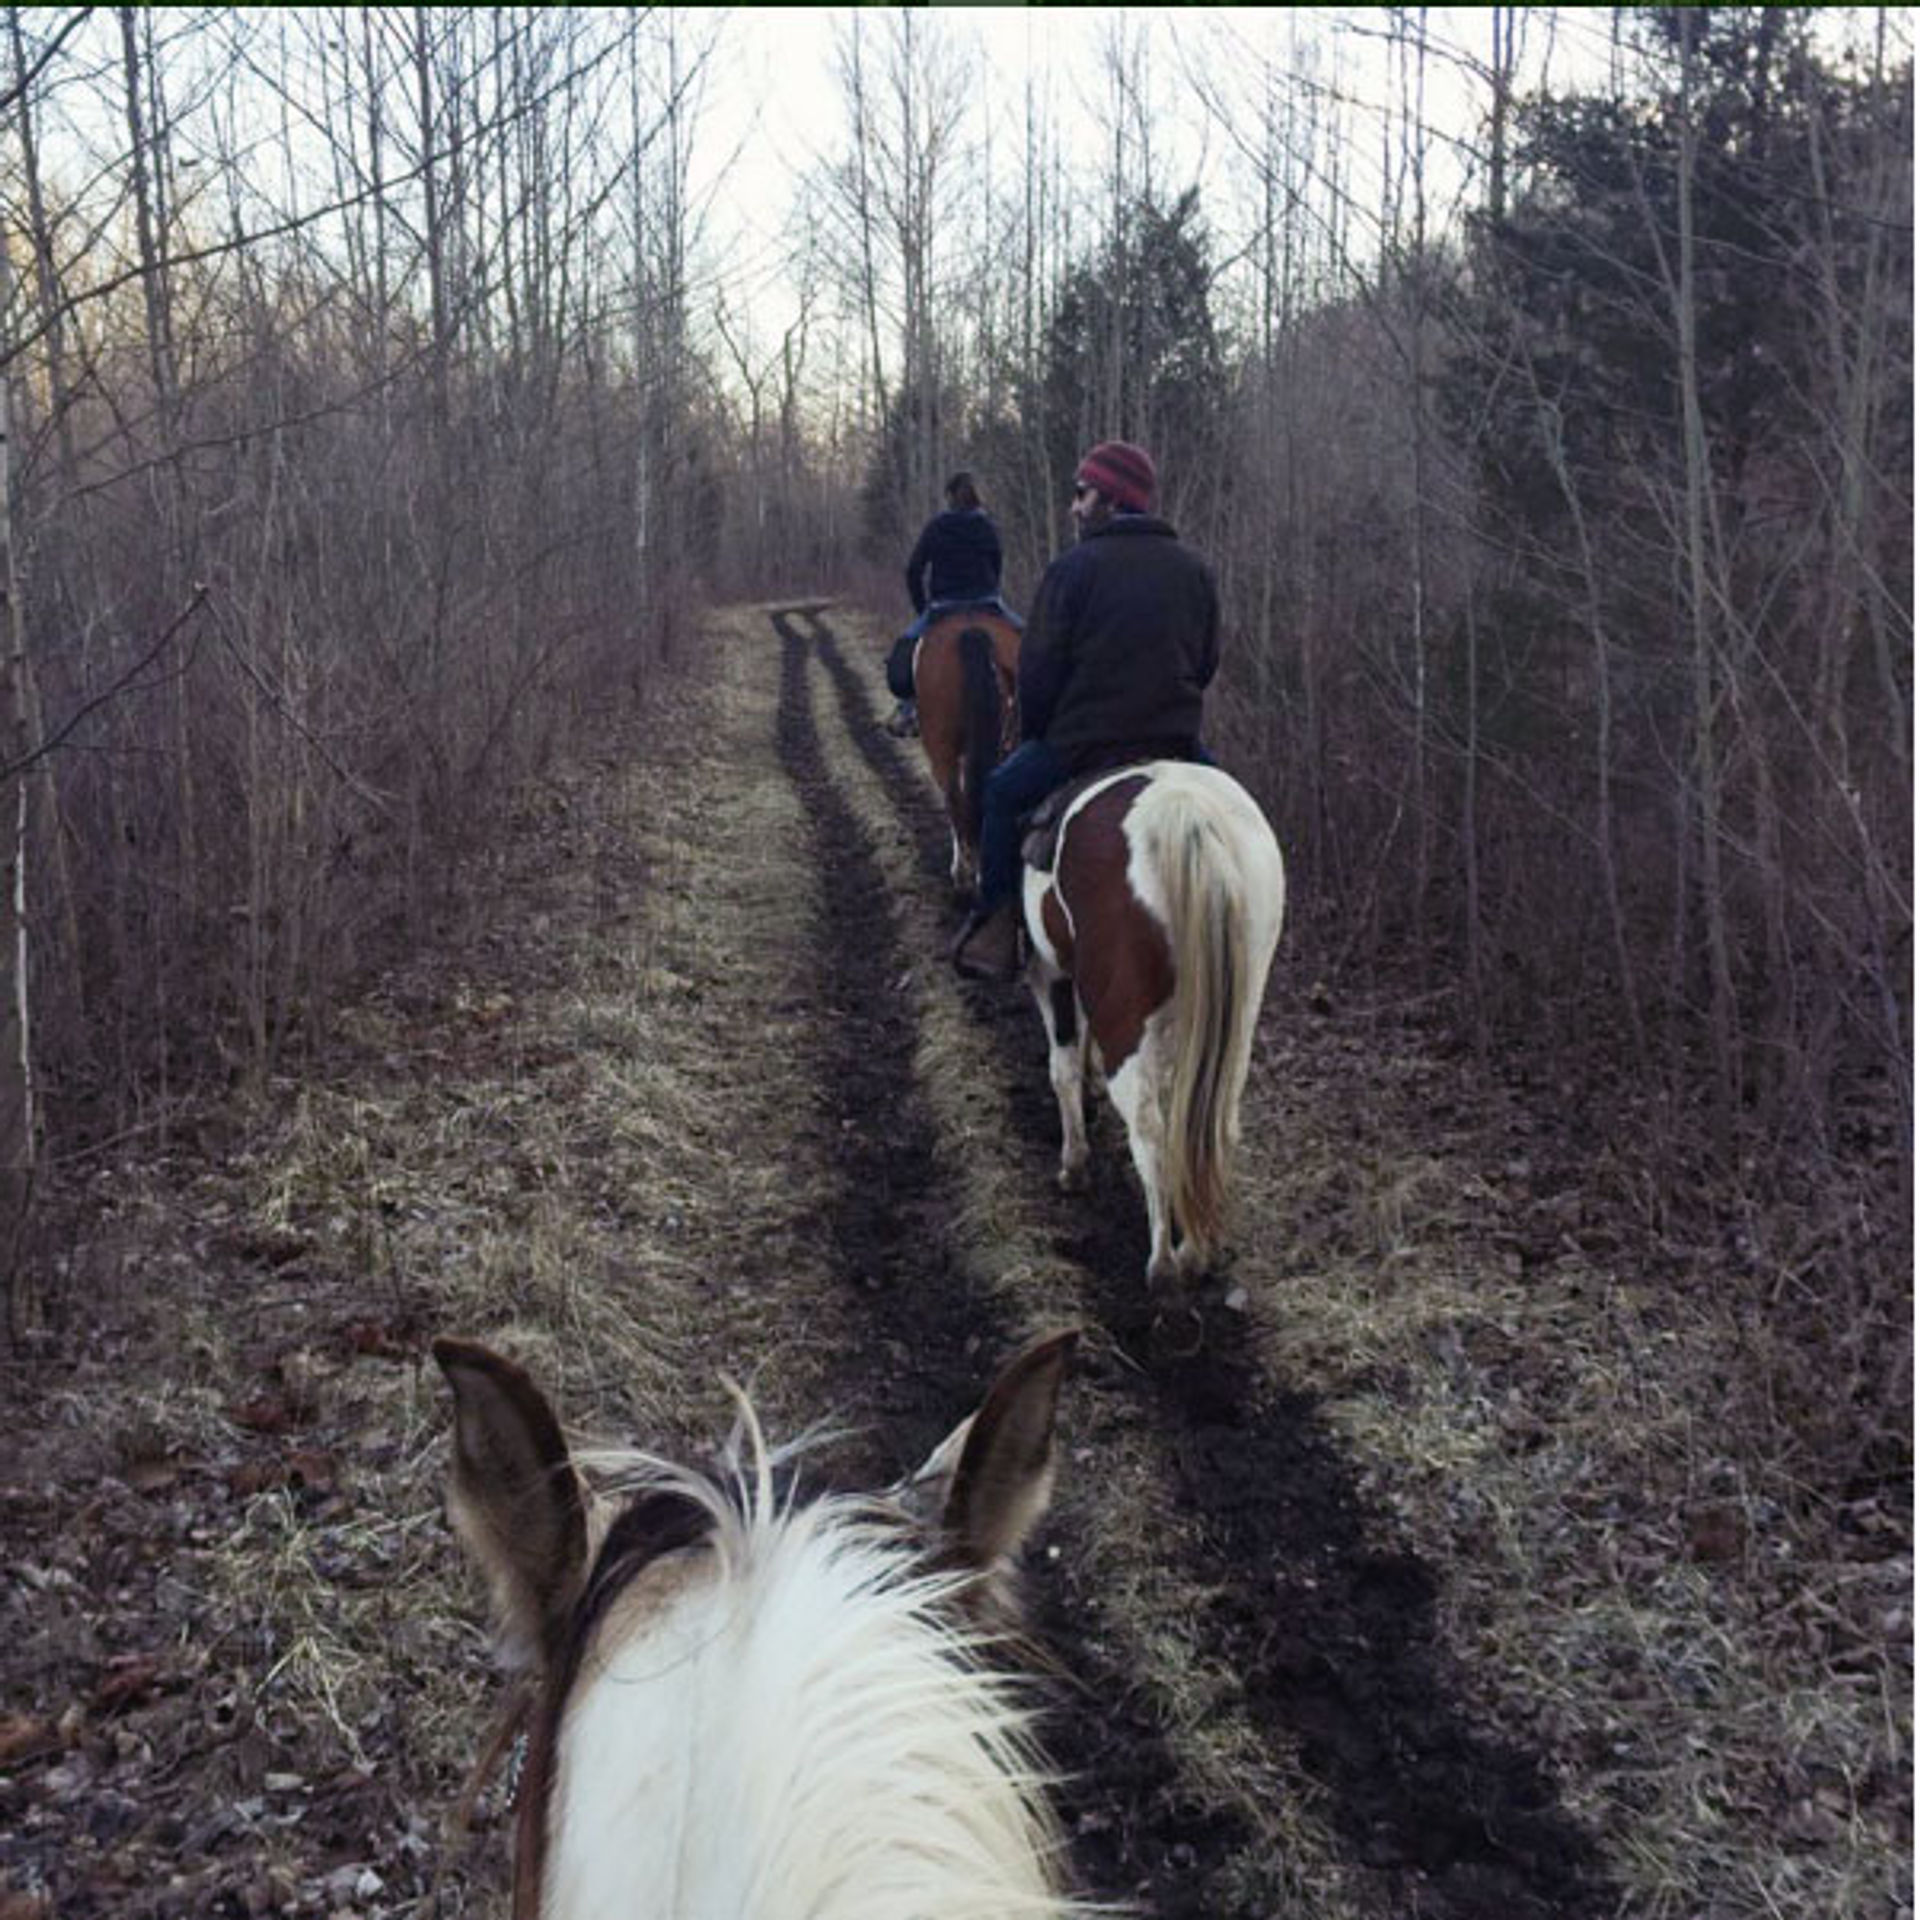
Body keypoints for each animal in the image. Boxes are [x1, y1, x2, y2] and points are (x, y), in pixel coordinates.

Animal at [1029, 764, 1282, 1290]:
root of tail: (1184, 812)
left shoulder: (1049, 973)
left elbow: (1062, 1068)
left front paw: (1073, 1164)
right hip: (1239, 1021)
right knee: (1216, 1127)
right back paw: (1196, 1251)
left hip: (1128, 1028)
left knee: (1149, 1130)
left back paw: (1164, 1262)